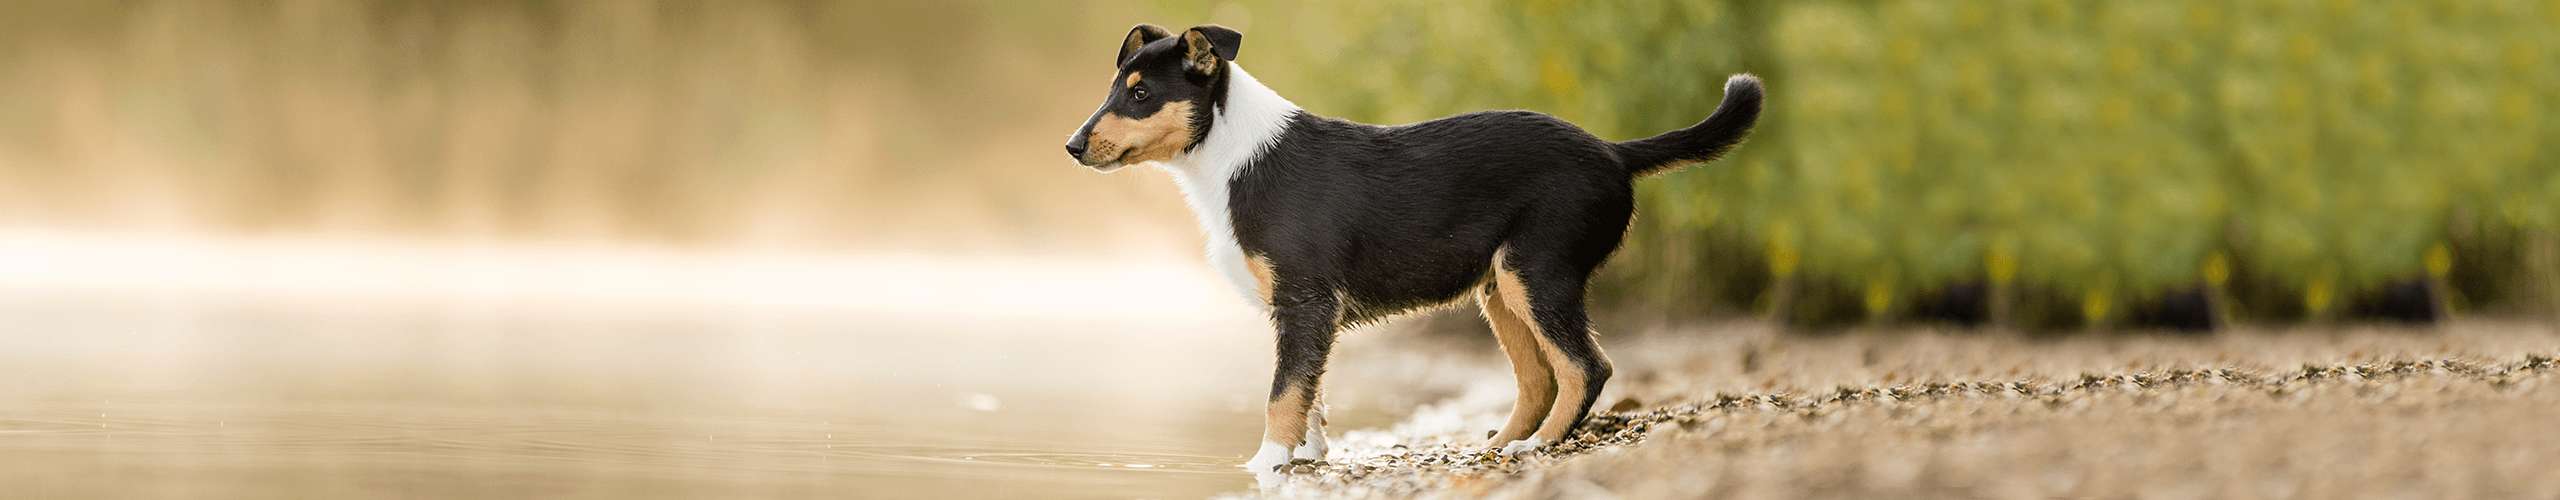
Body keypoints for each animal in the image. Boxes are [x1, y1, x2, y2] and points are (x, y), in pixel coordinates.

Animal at [1059, 22, 1761, 476]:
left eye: (1141, 93)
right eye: (1116, 87)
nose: (1071, 146)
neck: (1229, 157)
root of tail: (1615, 153)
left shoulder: (1306, 301)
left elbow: (1282, 393)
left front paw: (1264, 463)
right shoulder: (1301, 313)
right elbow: (1310, 392)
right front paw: (1308, 457)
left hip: (1538, 271)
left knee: (1587, 367)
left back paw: (1534, 451)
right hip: (1499, 288)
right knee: (1538, 379)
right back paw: (1494, 450)